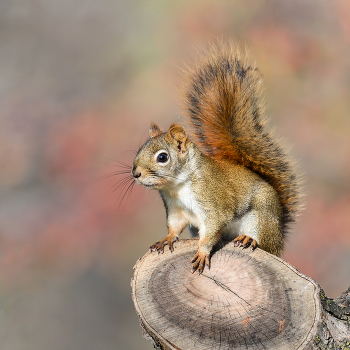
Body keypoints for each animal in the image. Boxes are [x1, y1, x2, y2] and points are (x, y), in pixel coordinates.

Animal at [131, 43, 300, 274]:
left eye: (162, 157)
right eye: (140, 149)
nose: (135, 173)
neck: (178, 186)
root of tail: (280, 233)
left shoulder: (214, 205)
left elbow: (210, 233)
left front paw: (202, 254)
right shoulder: (175, 209)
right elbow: (174, 226)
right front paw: (166, 239)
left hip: (262, 218)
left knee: (263, 242)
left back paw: (249, 239)